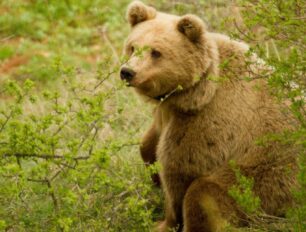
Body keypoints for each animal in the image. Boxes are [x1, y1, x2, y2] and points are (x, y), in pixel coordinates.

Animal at [120, 1, 298, 230]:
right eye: (133, 47)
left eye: (156, 52)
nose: (127, 72)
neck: (193, 93)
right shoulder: (168, 112)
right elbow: (149, 144)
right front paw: (152, 169)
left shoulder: (209, 122)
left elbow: (178, 170)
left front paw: (165, 222)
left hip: (265, 178)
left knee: (204, 192)